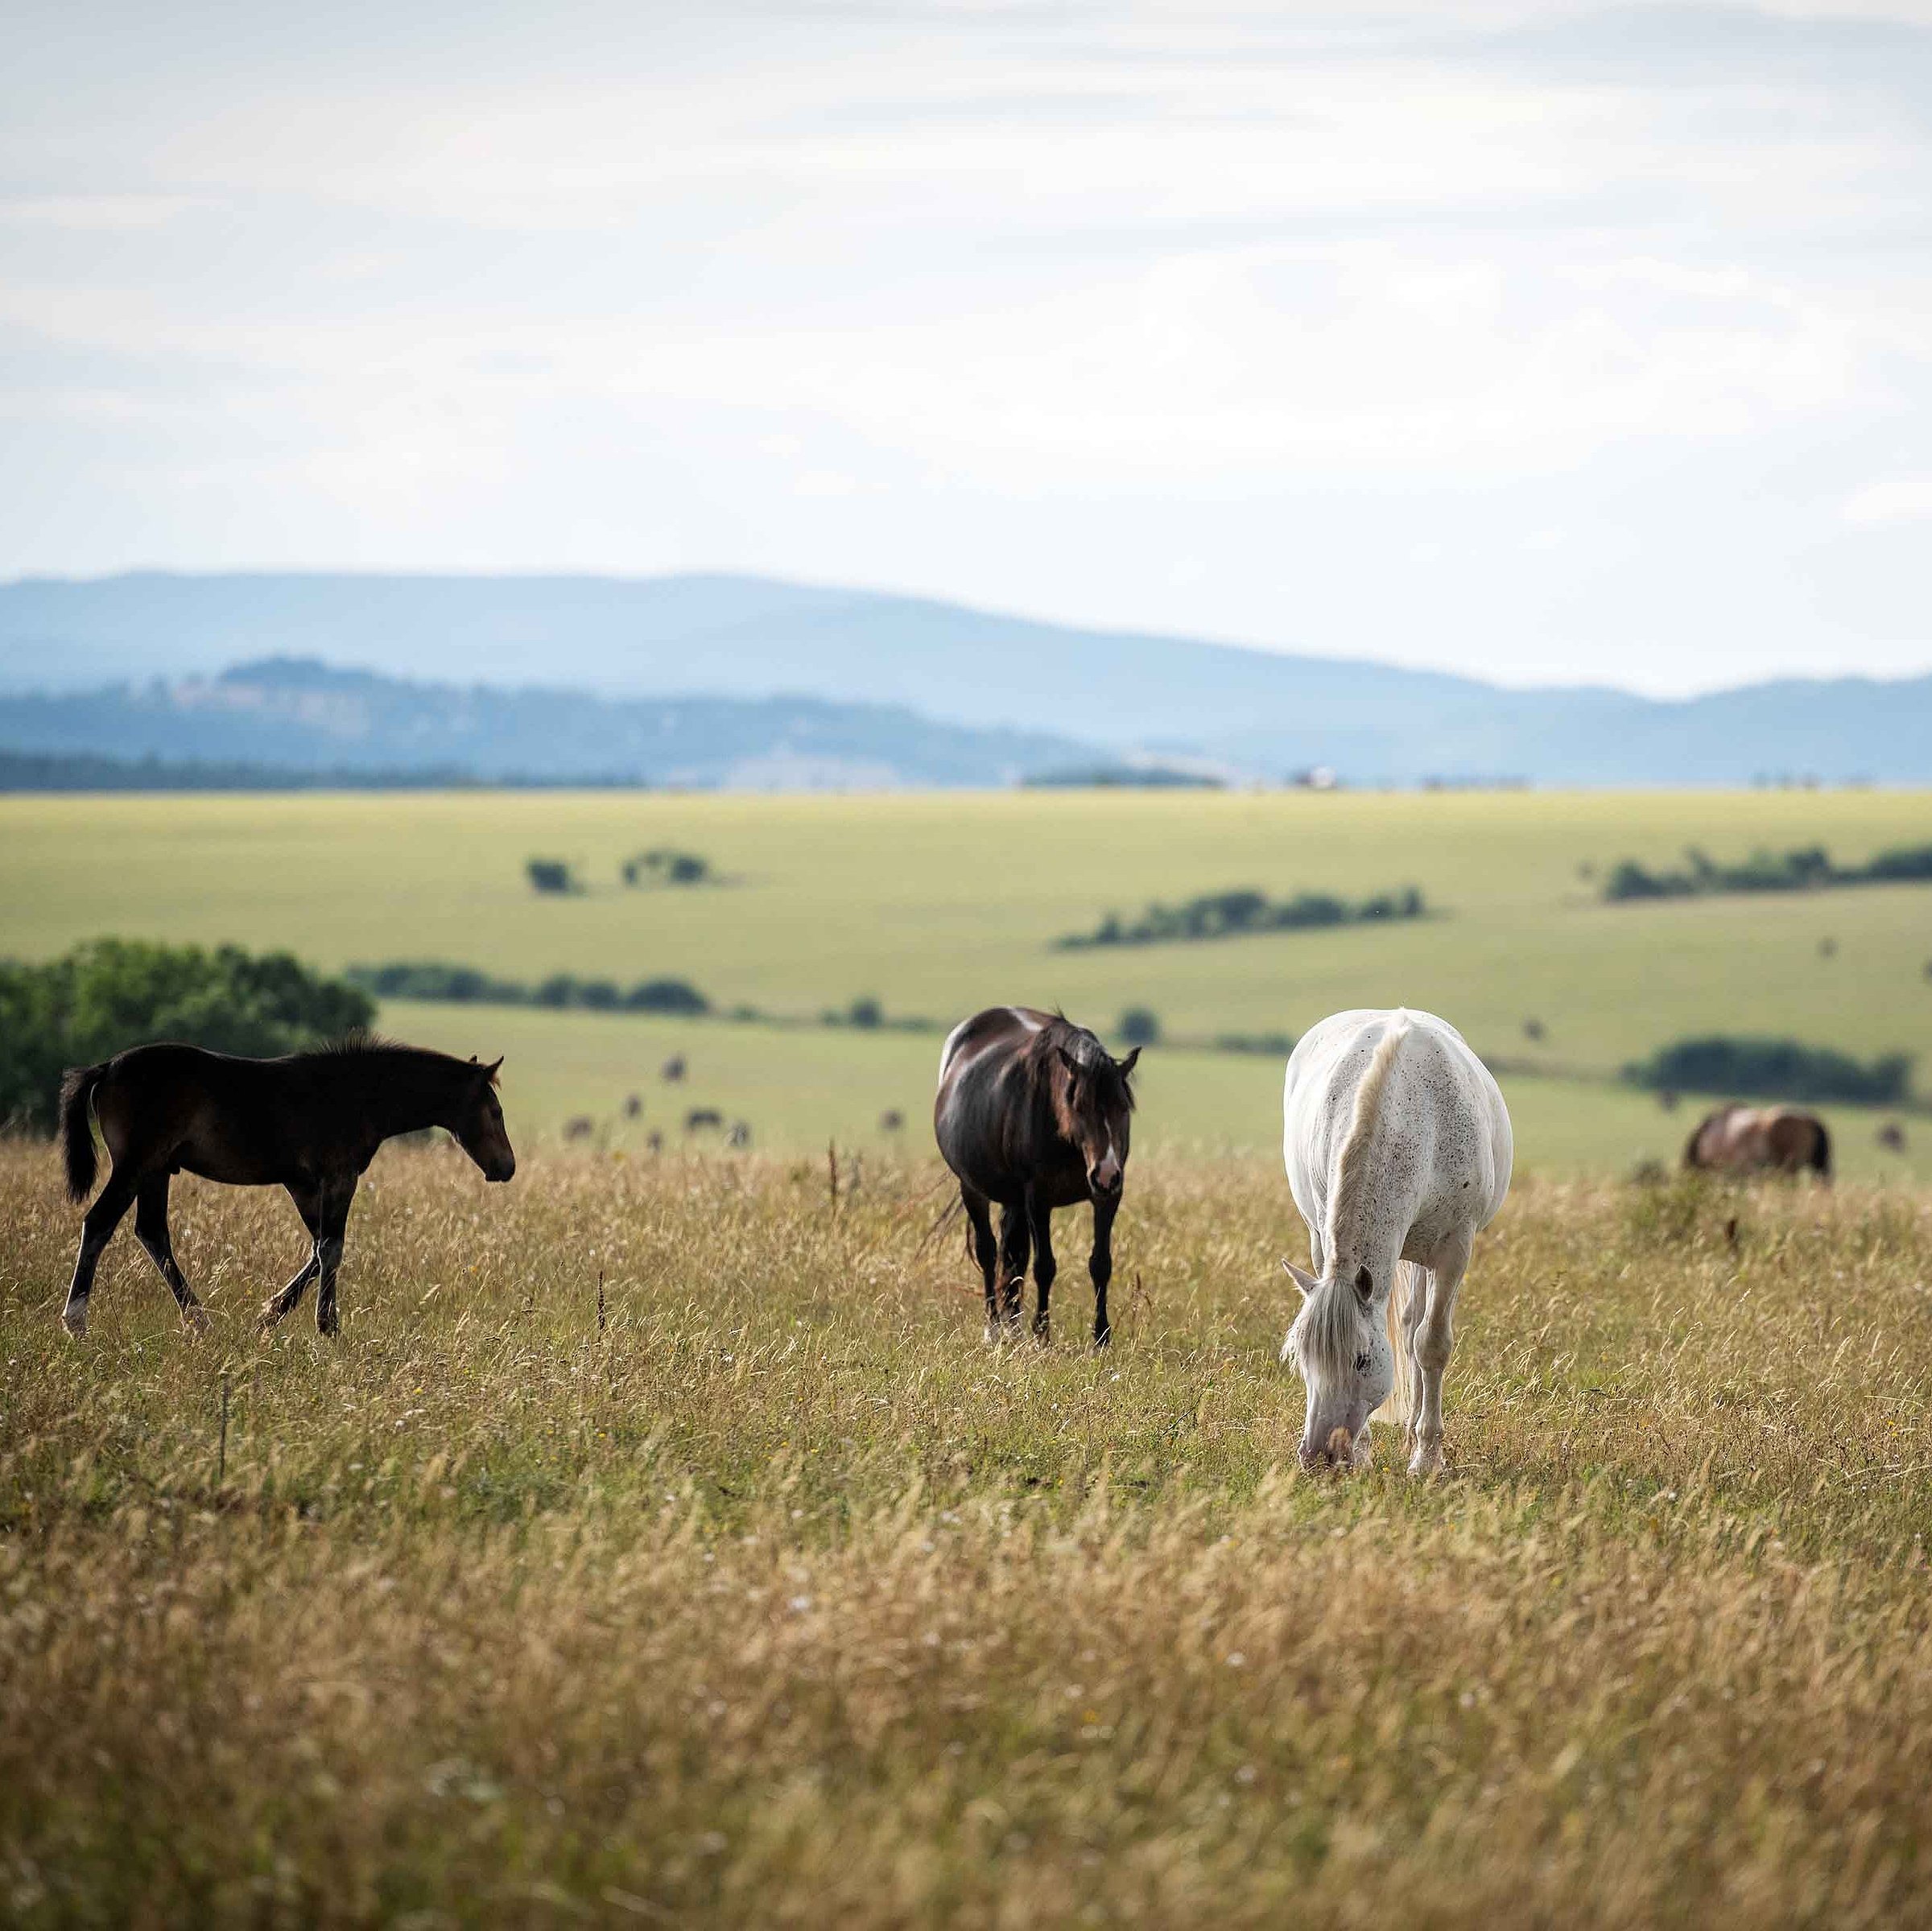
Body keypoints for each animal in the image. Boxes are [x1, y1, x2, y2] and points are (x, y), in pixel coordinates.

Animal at [57, 1038, 515, 1338]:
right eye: (495, 1111)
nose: (506, 1168)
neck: (359, 1094)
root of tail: (106, 1068)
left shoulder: (302, 1184)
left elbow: (318, 1248)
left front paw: (270, 1314)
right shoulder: (339, 1177)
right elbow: (332, 1247)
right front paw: (327, 1326)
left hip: (156, 1171)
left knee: (151, 1232)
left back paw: (200, 1320)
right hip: (136, 1165)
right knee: (99, 1222)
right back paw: (76, 1320)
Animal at [934, 1006, 1139, 1347]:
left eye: (1123, 1107)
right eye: (1079, 1106)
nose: (1106, 1172)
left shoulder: (1107, 1197)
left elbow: (1100, 1263)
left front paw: (1101, 1337)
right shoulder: (1038, 1199)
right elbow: (1044, 1266)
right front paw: (1042, 1334)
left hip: (1015, 1201)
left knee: (1014, 1256)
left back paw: (1013, 1327)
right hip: (972, 1188)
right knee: (988, 1252)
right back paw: (993, 1328)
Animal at [1279, 1008, 1511, 1476]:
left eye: (1362, 1360)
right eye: (1304, 1359)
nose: (1316, 1458)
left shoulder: (1453, 1250)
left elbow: (1432, 1344)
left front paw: (1426, 1459)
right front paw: (1364, 1453)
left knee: (1413, 1328)